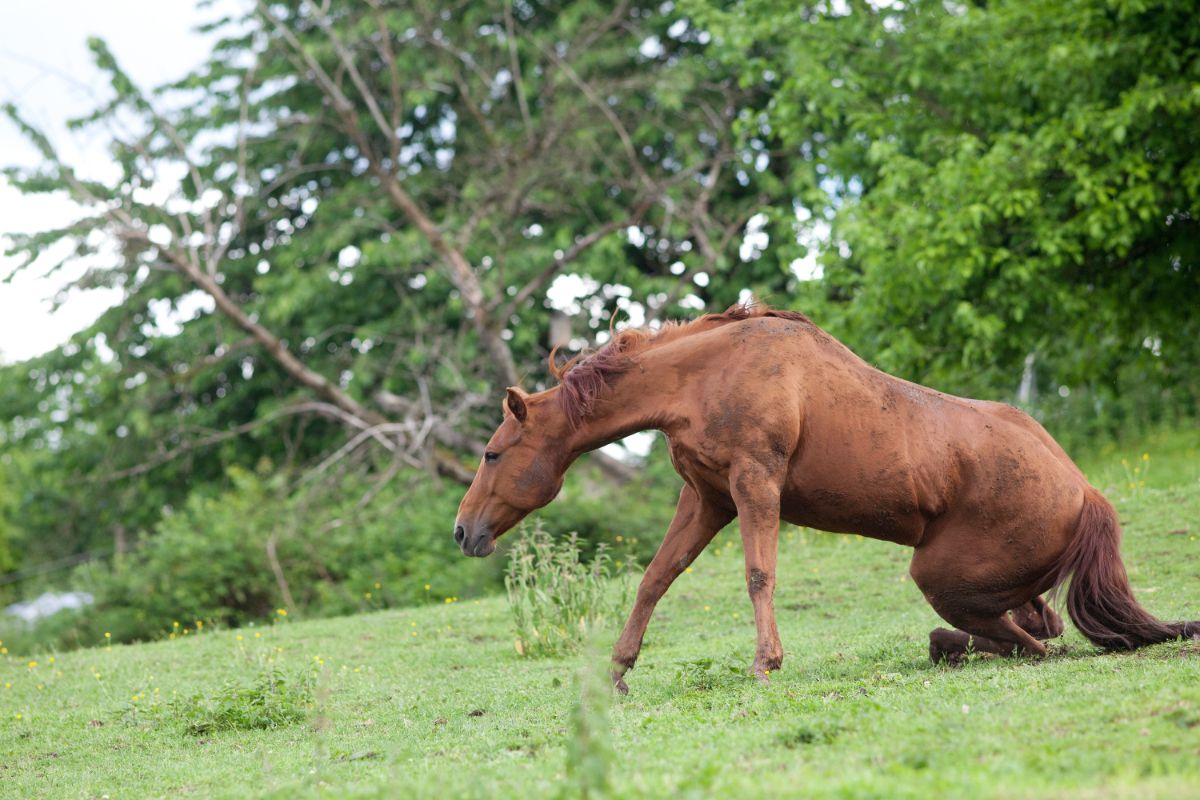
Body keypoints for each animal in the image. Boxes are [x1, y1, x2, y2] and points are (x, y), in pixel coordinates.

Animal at [453, 303, 1195, 690]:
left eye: (492, 453)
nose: (464, 532)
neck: (708, 374)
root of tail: (1086, 494)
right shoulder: (708, 499)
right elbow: (655, 578)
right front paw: (619, 669)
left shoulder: (755, 484)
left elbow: (759, 575)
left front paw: (766, 662)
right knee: (1035, 627)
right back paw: (949, 646)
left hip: (938, 575)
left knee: (1034, 644)